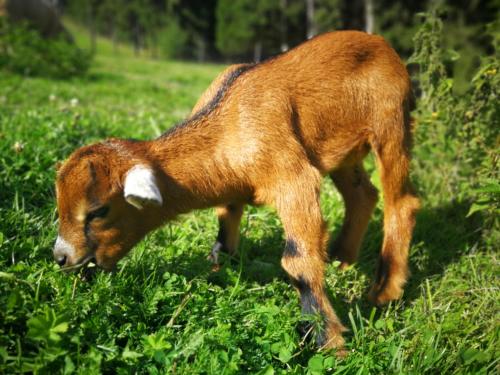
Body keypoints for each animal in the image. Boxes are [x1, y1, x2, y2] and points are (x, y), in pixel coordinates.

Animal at [54, 31, 420, 352]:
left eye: (98, 211)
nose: (62, 257)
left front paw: (328, 342)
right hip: (342, 152)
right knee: (363, 195)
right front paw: (220, 267)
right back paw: (343, 261)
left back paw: (384, 291)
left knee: (401, 201)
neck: (228, 123)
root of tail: (380, 42)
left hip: (392, 122)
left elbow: (298, 260)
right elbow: (225, 223)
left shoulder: (295, 179)